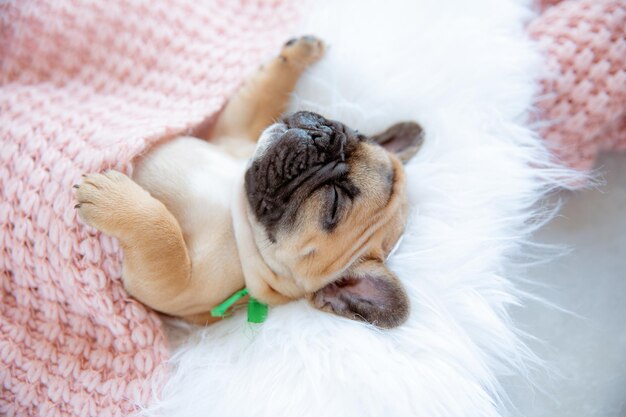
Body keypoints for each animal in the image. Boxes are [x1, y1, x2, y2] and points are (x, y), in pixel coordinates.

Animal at [74, 35, 424, 326]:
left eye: (334, 204)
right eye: (356, 134)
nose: (323, 140)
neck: (238, 208)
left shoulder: (178, 288)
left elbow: (165, 242)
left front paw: (111, 198)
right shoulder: (234, 132)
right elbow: (261, 94)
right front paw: (299, 53)